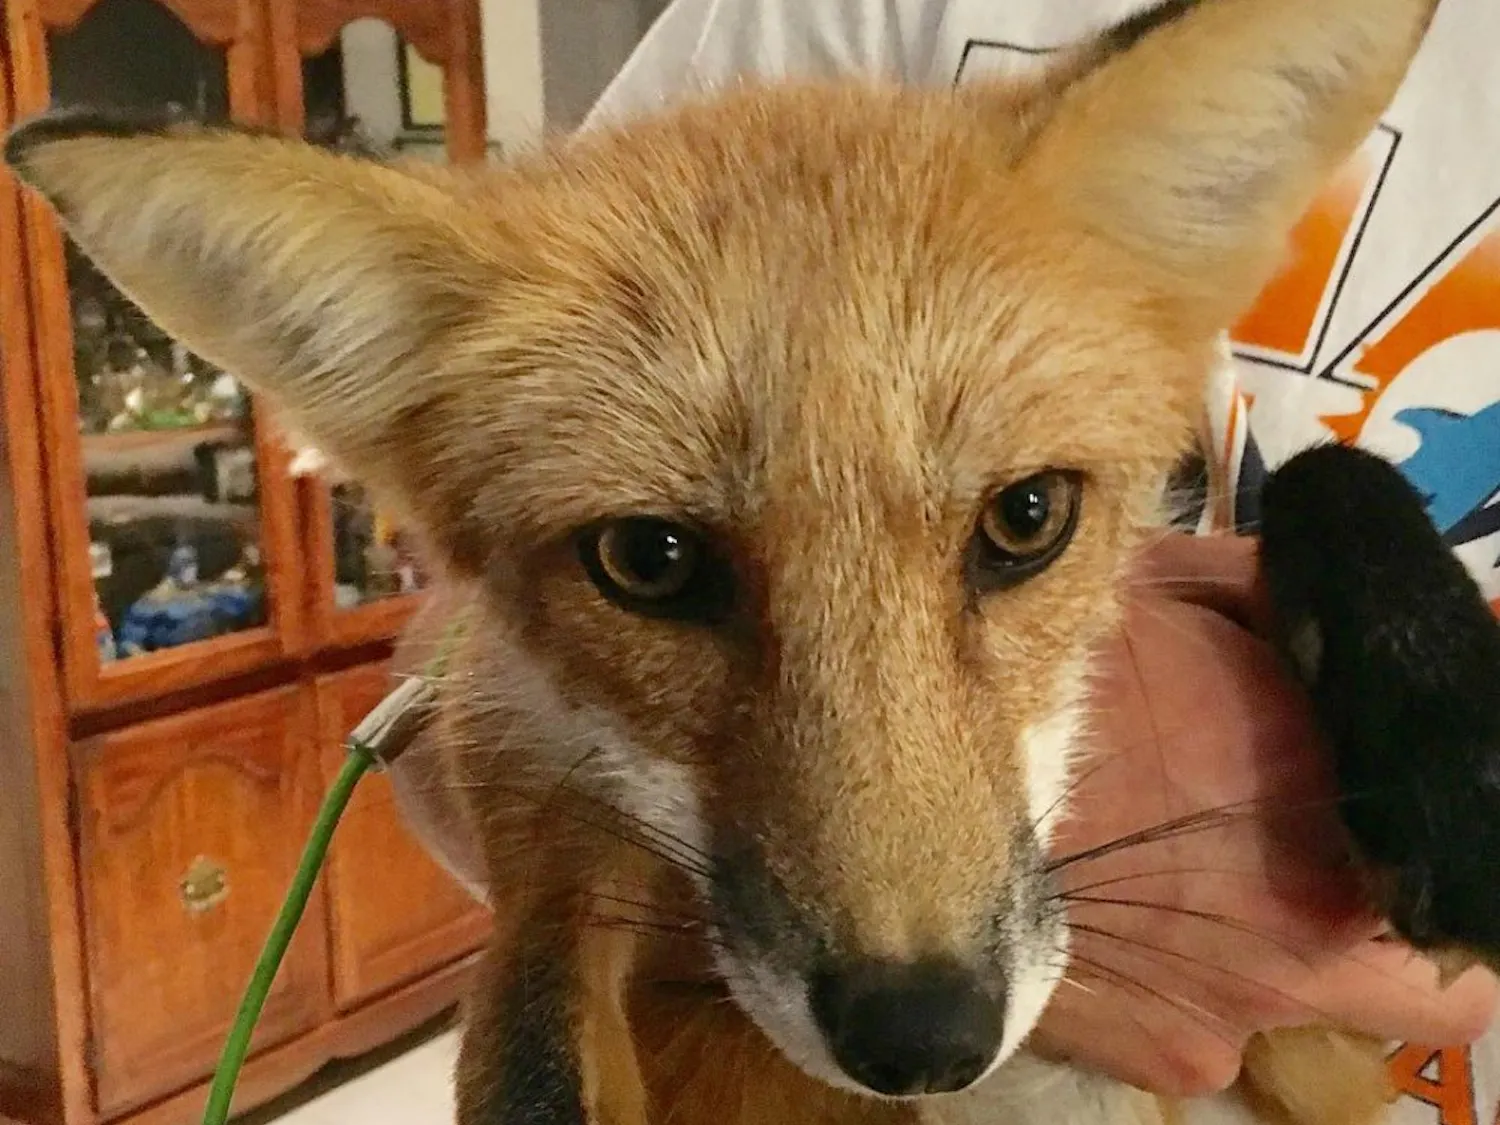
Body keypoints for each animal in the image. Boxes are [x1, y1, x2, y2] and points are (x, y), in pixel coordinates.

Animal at [9, 0, 1499, 1122]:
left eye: (1027, 519)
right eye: (650, 560)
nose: (920, 1032)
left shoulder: (1312, 1056)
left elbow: (1323, 478)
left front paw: (1447, 751)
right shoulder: (543, 800)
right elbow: (536, 1015)